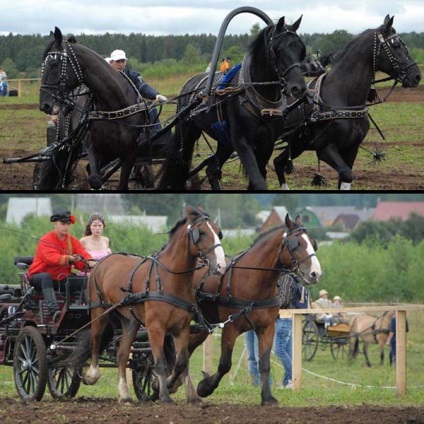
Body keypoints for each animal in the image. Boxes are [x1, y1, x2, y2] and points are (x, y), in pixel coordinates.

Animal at [39, 27, 154, 190]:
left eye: (54, 63)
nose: (45, 104)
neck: (114, 106)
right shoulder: (93, 148)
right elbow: (95, 180)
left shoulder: (130, 152)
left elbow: (122, 184)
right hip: (68, 145)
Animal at [64, 207, 227, 402]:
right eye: (201, 232)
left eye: (218, 232)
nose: (221, 265)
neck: (169, 279)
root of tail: (100, 263)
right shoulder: (155, 327)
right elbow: (161, 362)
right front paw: (164, 395)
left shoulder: (182, 327)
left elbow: (182, 361)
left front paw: (192, 396)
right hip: (99, 312)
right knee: (95, 341)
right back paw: (92, 375)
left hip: (130, 321)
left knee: (122, 355)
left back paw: (124, 395)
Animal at [157, 16, 306, 189]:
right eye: (278, 49)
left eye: (301, 50)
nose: (298, 88)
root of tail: (189, 84)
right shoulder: (241, 140)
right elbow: (257, 180)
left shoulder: (267, 142)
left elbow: (257, 178)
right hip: (188, 130)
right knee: (180, 164)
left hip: (224, 139)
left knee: (212, 169)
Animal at [182, 214, 322, 406]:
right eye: (297, 244)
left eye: (313, 243)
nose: (316, 273)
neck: (253, 281)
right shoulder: (230, 328)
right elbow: (225, 364)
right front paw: (205, 387)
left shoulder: (267, 328)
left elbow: (264, 364)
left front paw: (268, 398)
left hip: (203, 326)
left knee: (186, 350)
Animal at [274, 15, 422, 190]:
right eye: (396, 45)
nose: (417, 76)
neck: (343, 99)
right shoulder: (324, 148)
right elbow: (346, 174)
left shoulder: (351, 149)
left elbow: (345, 179)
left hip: (298, 144)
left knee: (277, 163)